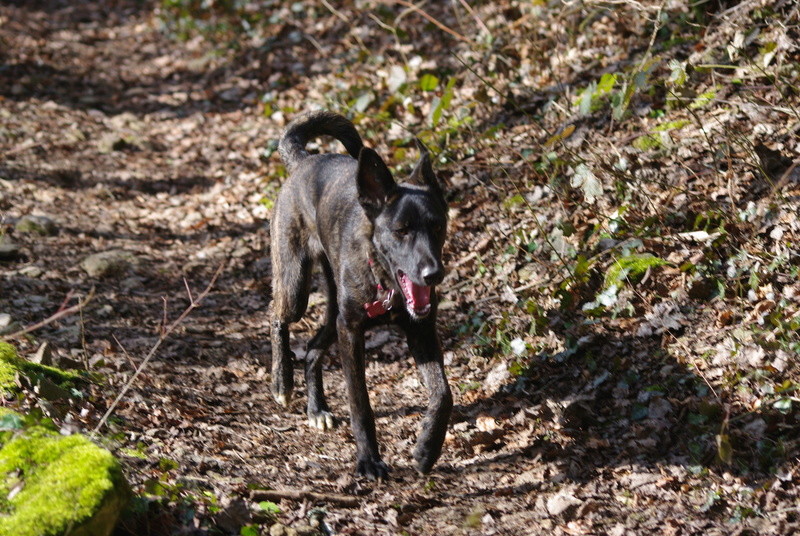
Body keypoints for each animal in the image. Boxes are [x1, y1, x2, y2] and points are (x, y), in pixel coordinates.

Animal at [272, 110, 454, 478]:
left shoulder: (420, 330)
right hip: (295, 283)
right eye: (401, 230)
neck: (383, 280)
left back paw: (317, 409)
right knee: (278, 318)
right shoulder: (351, 330)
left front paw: (427, 448)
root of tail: (304, 160)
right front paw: (369, 459)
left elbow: (443, 394)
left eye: (437, 225)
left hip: (333, 311)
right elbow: (360, 403)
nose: (433, 274)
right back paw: (282, 382)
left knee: (313, 348)